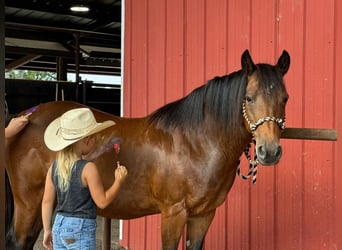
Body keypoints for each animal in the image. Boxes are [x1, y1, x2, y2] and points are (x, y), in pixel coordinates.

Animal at [5, 49, 288, 249]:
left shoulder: (204, 215)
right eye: (249, 98)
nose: (269, 152)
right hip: (29, 203)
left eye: (285, 99)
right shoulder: (173, 213)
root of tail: (27, 116)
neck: (196, 142)